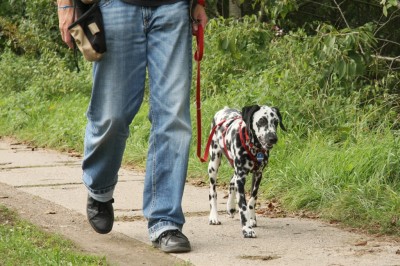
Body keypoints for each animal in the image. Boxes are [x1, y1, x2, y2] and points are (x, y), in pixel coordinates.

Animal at [208, 105, 286, 238]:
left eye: (276, 122)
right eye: (262, 121)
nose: (273, 138)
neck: (254, 148)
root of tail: (224, 109)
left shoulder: (258, 175)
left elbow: (252, 200)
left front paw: (252, 219)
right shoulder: (241, 179)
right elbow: (243, 206)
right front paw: (247, 229)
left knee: (232, 181)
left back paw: (230, 207)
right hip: (213, 164)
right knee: (213, 192)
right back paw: (214, 216)